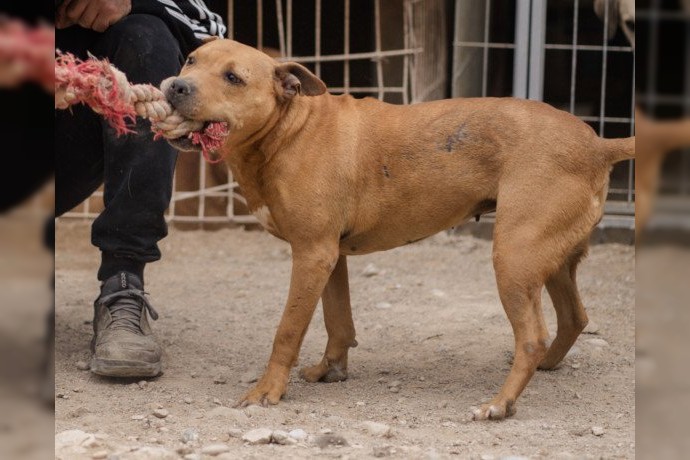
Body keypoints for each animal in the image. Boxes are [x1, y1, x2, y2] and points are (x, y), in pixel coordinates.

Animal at [161, 39, 636, 420]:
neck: (287, 130)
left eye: (233, 77)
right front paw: (331, 370)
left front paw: (267, 391)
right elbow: (338, 321)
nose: (175, 86)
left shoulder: (312, 254)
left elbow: (288, 330)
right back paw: (546, 366)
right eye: (190, 59)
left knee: (534, 336)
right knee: (574, 318)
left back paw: (501, 403)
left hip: (514, 257)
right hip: (551, 258)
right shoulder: (330, 257)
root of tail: (597, 144)